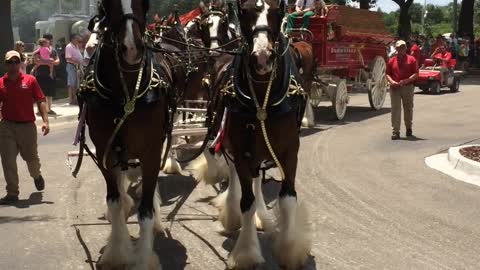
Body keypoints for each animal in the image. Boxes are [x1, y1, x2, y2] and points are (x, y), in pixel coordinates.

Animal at [79, 1, 174, 268]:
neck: (126, 94)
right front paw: (117, 253)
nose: (131, 47)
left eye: (145, 3)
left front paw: (142, 258)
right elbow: (115, 202)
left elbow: (145, 211)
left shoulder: (152, 152)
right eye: (106, 4)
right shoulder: (105, 152)